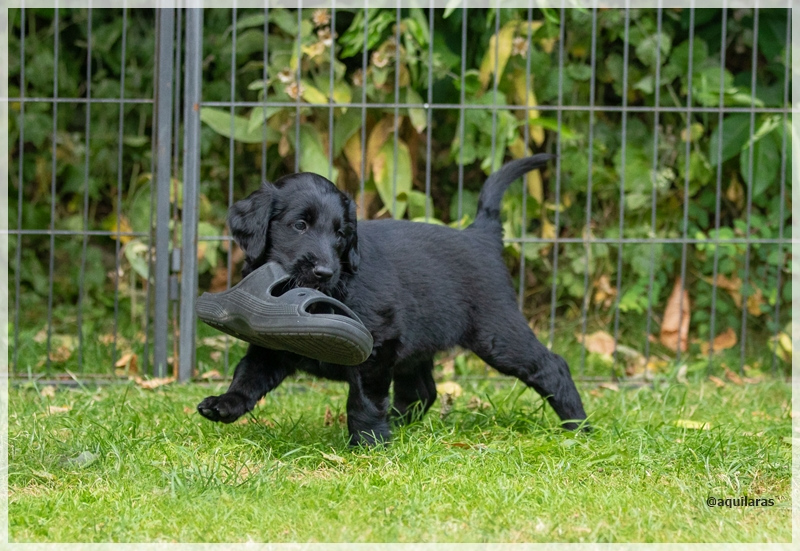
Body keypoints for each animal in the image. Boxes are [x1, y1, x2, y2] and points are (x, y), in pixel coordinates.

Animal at [198, 154, 589, 445]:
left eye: (341, 234)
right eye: (299, 225)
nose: (324, 271)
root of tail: (481, 234)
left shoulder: (377, 344)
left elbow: (363, 398)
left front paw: (368, 443)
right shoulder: (277, 344)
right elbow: (248, 375)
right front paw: (225, 404)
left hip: (498, 333)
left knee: (552, 366)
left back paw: (580, 428)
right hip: (420, 341)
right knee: (423, 390)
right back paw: (401, 427)